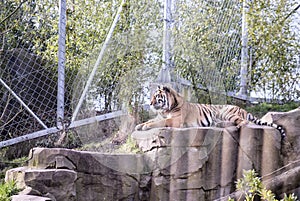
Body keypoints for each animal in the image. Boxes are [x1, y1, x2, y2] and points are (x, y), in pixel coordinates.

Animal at [135, 85, 286, 138]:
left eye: (156, 96)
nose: (150, 103)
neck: (166, 109)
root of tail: (242, 109)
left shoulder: (175, 120)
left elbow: (157, 123)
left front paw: (146, 126)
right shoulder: (160, 116)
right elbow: (151, 120)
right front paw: (139, 125)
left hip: (226, 112)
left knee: (244, 121)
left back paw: (237, 127)